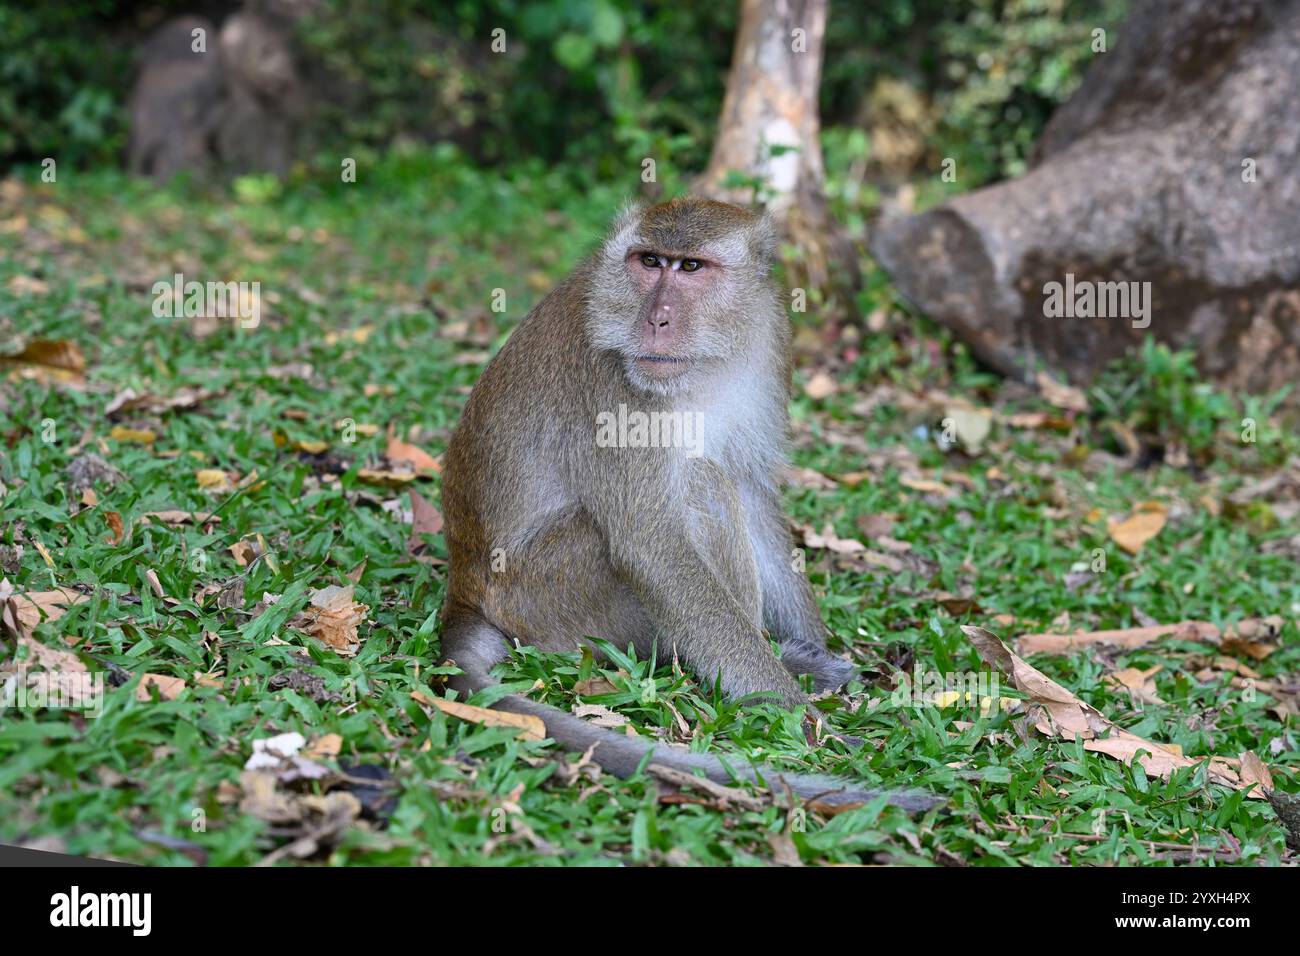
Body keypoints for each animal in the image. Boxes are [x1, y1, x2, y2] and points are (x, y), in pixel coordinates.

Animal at [441, 197, 941, 811]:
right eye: (650, 261)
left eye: (692, 268)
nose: (656, 319)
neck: (705, 362)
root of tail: (465, 587)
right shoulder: (614, 385)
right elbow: (652, 545)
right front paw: (807, 724)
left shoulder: (769, 338)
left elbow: (751, 491)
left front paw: (812, 656)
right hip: (551, 597)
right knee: (701, 485)